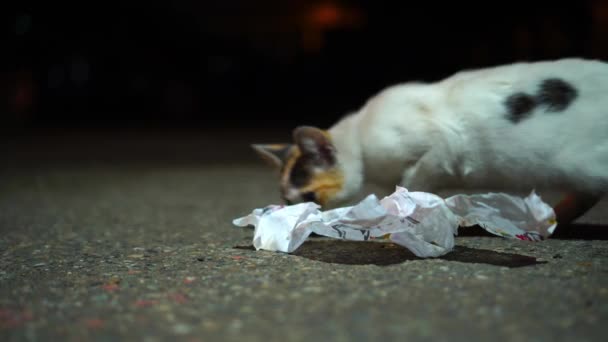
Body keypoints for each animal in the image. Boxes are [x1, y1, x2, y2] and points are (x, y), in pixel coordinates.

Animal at [252, 57, 608, 226]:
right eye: (285, 198)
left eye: (308, 196)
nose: (292, 211)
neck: (360, 135)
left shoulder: (443, 148)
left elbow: (414, 180)